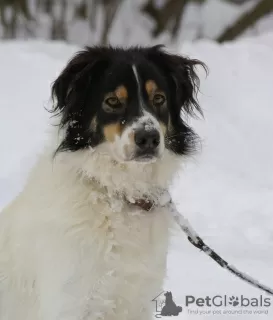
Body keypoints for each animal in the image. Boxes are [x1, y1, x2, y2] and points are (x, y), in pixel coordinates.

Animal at [0, 45, 204, 320]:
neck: (116, 194)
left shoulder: (138, 300)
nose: (149, 138)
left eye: (159, 98)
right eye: (113, 101)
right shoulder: (70, 302)